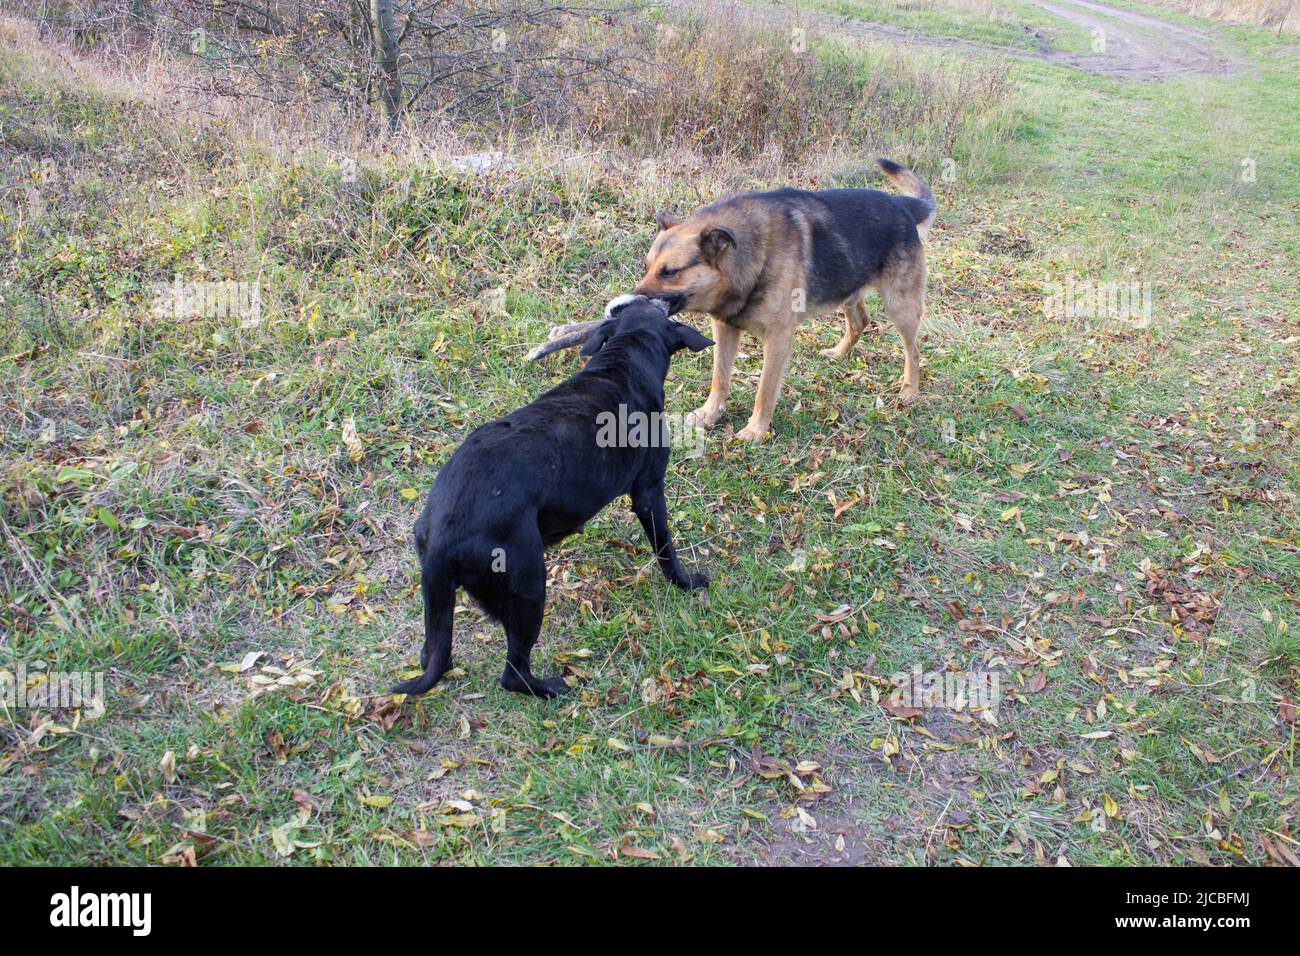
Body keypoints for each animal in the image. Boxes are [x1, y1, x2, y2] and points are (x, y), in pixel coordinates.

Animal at [395, 295, 717, 697]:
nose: (665, 297)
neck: (623, 361)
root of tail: (442, 536)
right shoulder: (648, 491)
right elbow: (666, 552)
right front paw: (686, 583)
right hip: (529, 588)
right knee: (513, 673)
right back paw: (552, 688)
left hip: (441, 598)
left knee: (432, 652)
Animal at [631, 158, 930, 442]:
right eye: (646, 267)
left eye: (669, 272)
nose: (630, 305)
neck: (750, 258)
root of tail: (901, 204)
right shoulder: (725, 328)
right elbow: (720, 378)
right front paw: (709, 414)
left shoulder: (777, 338)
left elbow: (764, 390)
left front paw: (755, 431)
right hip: (847, 286)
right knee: (861, 321)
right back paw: (838, 353)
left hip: (899, 306)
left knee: (913, 351)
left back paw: (910, 391)